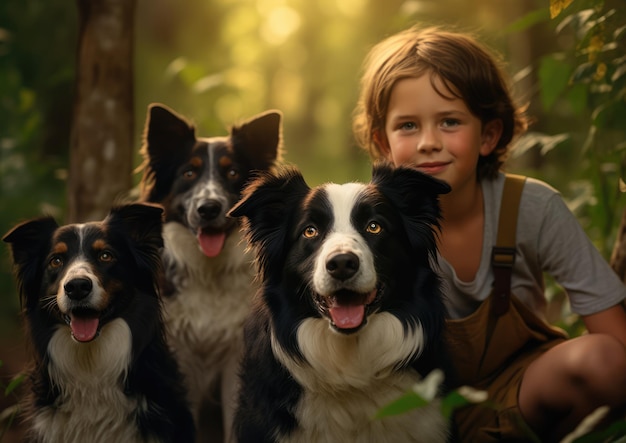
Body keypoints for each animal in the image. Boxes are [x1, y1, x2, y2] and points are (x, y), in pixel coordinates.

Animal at [138, 103, 280, 440]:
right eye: (188, 173)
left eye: (233, 173)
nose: (208, 209)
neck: (208, 272)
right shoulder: (179, 356)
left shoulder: (235, 357)